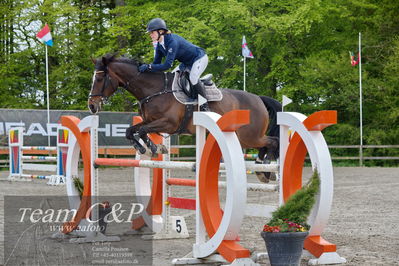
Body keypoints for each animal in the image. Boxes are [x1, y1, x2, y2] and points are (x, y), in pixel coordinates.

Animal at [88, 54, 282, 183]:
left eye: (99, 78)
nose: (91, 106)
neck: (155, 89)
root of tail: (258, 99)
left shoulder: (169, 124)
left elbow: (141, 130)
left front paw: (153, 148)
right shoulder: (151, 122)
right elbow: (131, 130)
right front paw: (147, 148)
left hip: (249, 136)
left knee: (273, 141)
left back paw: (266, 168)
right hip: (245, 137)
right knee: (267, 144)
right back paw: (262, 170)